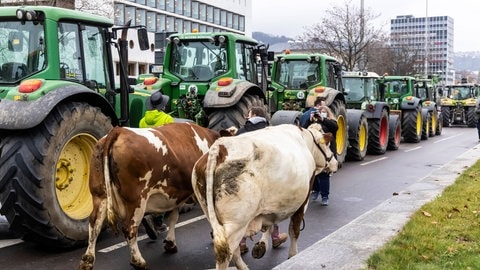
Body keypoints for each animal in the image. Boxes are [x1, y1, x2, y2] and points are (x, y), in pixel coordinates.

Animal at [78, 123, 228, 270]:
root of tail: (118, 131)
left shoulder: (173, 194)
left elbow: (173, 217)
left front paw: (170, 243)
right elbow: (210, 214)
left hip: (99, 195)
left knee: (94, 223)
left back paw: (87, 261)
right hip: (136, 199)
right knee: (129, 228)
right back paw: (138, 262)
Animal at [191, 123, 338, 268]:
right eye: (328, 144)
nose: (335, 163)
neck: (306, 141)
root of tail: (219, 146)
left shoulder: (269, 206)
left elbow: (269, 224)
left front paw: (261, 246)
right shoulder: (303, 202)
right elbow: (294, 230)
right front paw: (293, 256)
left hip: (215, 218)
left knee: (235, 252)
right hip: (236, 224)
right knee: (225, 255)